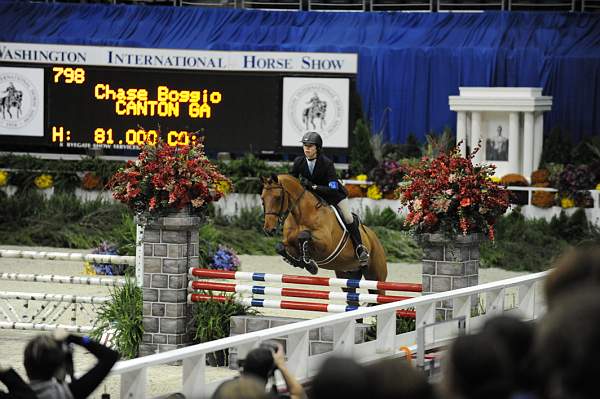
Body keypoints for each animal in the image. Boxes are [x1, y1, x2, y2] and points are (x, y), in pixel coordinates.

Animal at [262, 173, 390, 298]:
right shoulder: (290, 243)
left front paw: (309, 264)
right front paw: (300, 263)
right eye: (262, 199)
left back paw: (362, 254)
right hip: (346, 276)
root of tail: (375, 238)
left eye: (278, 198)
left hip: (375, 277)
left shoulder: (325, 245)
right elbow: (280, 247)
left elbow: (303, 235)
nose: (269, 229)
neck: (301, 215)